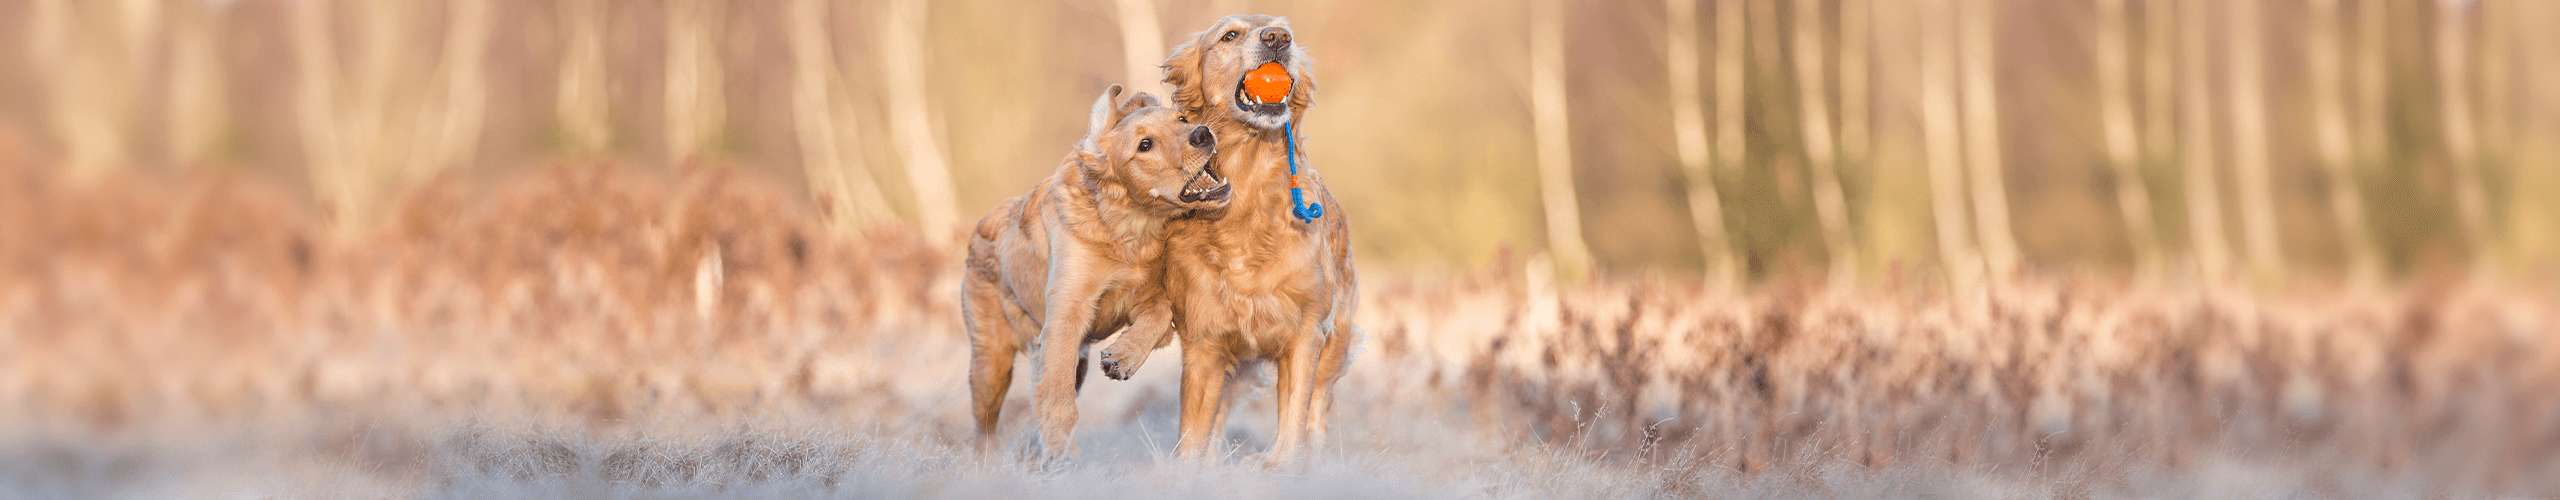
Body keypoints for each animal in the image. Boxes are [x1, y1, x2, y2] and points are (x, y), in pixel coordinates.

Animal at [962, 83, 1233, 464]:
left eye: (1181, 120)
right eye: (1144, 145)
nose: (1203, 133)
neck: (1128, 227)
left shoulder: (1147, 297)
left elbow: (1159, 315)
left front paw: (1122, 358)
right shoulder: (1065, 315)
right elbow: (1058, 399)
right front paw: (1061, 451)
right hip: (991, 361)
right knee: (985, 424)